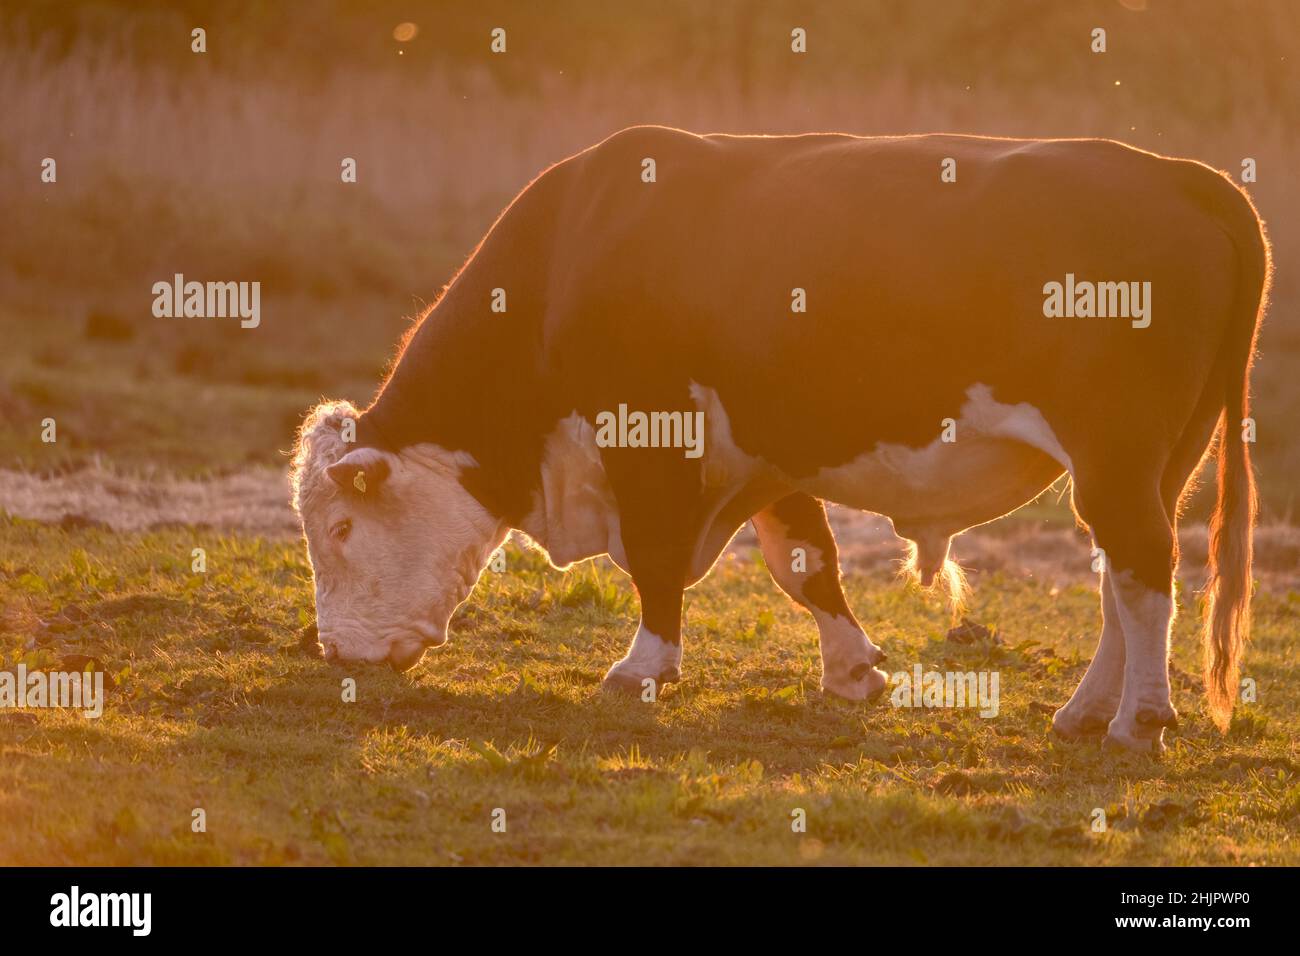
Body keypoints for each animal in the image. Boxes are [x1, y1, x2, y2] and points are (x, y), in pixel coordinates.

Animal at [291, 127, 1270, 753]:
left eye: (339, 529)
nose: (334, 652)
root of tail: (1178, 172)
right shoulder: (770, 451)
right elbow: (807, 563)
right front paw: (853, 672)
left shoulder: (651, 442)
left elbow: (655, 562)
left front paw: (643, 668)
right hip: (1157, 463)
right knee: (1121, 577)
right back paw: (1087, 711)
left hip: (1117, 453)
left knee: (1141, 568)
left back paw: (1140, 722)